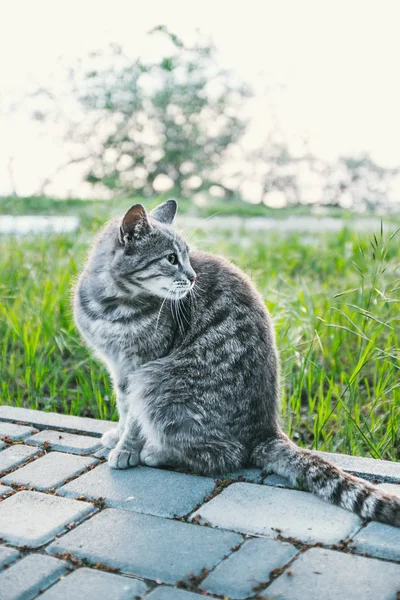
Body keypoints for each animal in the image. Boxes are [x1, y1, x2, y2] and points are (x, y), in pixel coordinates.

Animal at [74, 200, 400, 524]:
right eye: (171, 258)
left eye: (187, 257)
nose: (192, 277)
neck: (111, 305)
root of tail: (266, 429)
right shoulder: (118, 367)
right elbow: (123, 407)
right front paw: (117, 435)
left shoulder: (140, 365)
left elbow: (134, 420)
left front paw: (126, 448)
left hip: (155, 383)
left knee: (225, 454)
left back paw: (157, 452)